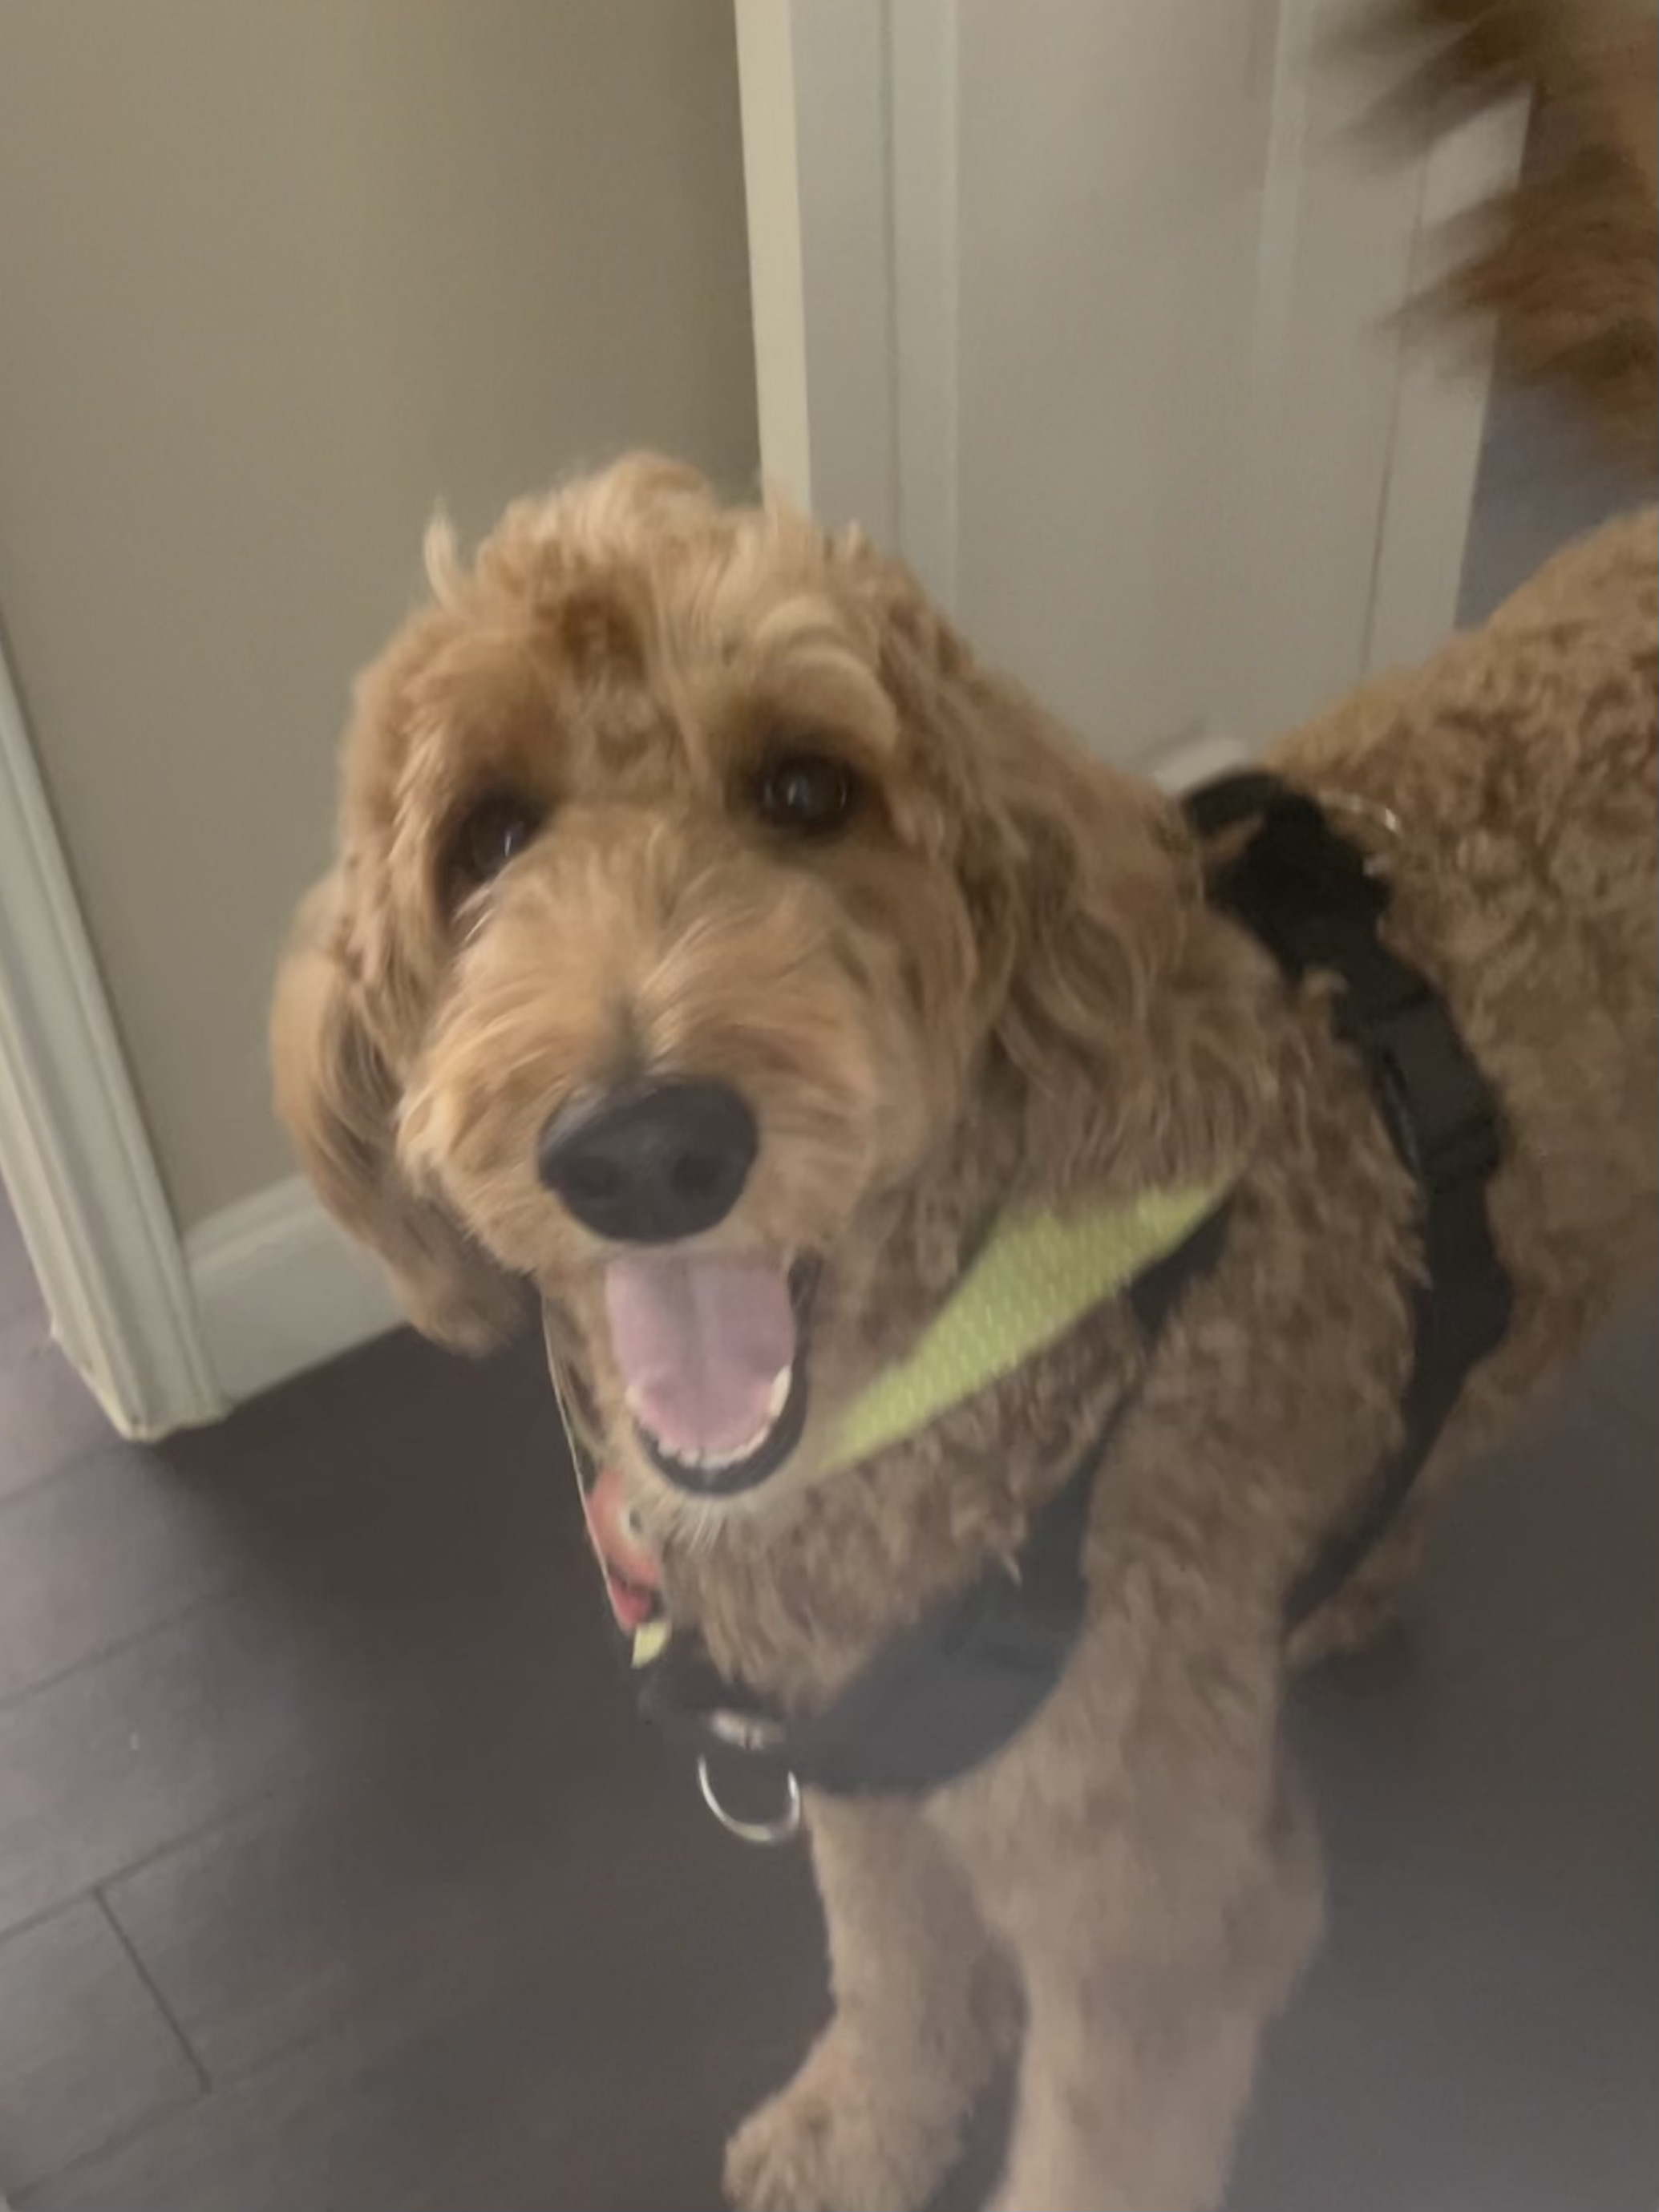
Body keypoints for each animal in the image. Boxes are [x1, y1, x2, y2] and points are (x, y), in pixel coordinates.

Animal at [271, 2, 1657, 2204]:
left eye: (806, 786)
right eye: (485, 835)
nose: (643, 1145)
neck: (952, 1370)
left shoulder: (1150, 1909)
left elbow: (1095, 2137)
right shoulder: (858, 1774)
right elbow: (894, 1962)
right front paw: (861, 2122)